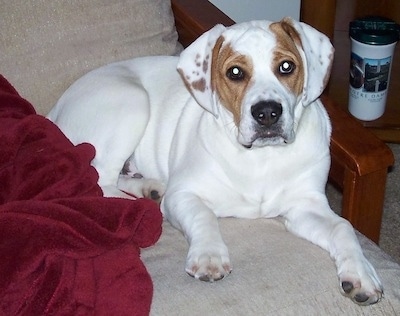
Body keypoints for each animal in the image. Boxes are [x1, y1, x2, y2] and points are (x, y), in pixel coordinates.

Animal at [48, 17, 382, 306]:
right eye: (235, 73)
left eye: (287, 66)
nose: (267, 113)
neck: (262, 157)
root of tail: (55, 108)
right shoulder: (183, 195)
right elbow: (204, 215)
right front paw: (209, 256)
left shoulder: (305, 206)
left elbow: (343, 227)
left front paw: (362, 273)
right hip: (131, 102)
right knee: (100, 180)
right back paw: (142, 207)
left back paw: (149, 188)